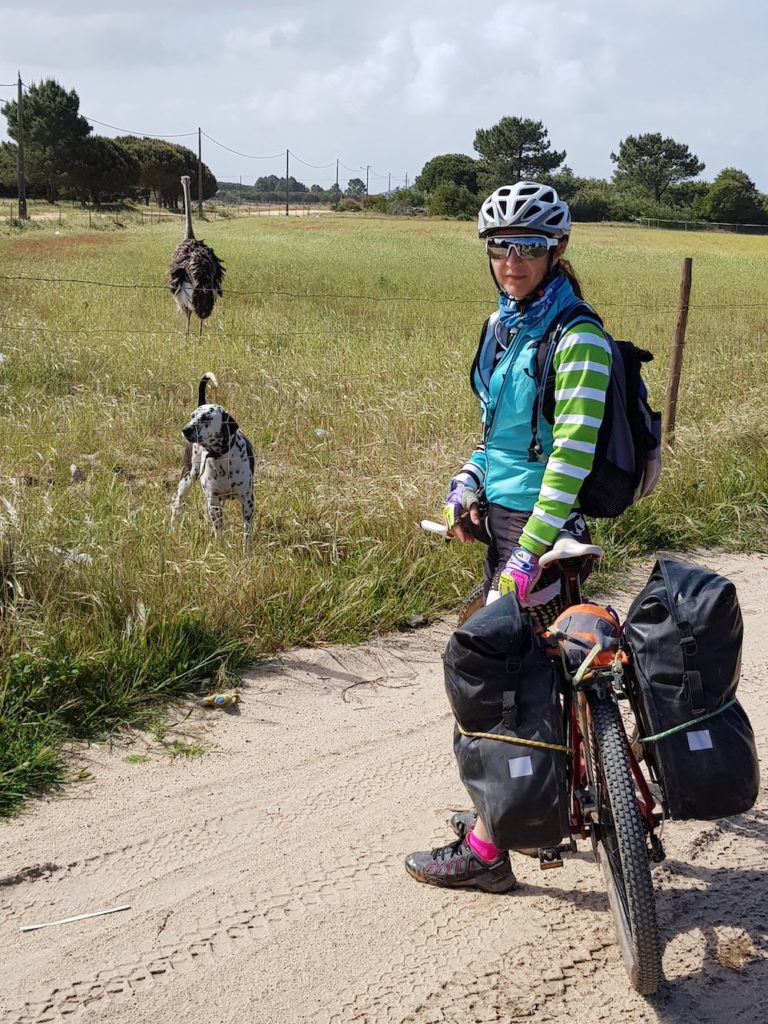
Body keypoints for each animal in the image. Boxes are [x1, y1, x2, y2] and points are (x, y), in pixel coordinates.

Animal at [171, 372, 256, 552]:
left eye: (207, 418)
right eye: (192, 416)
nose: (186, 429)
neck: (222, 459)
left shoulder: (247, 501)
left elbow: (247, 534)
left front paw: (247, 553)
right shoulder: (213, 501)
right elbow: (219, 531)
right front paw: (221, 550)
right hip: (187, 478)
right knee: (176, 506)